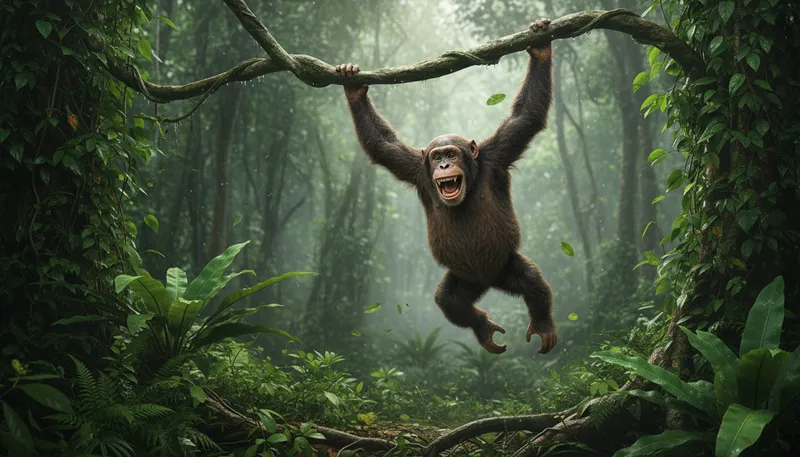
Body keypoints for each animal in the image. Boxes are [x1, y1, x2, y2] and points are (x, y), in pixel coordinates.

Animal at [335, 19, 557, 355]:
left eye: (451, 154)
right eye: (437, 156)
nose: (442, 166)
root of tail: (490, 282)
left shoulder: (499, 153)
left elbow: (527, 116)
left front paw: (541, 47)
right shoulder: (414, 168)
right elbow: (382, 145)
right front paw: (354, 89)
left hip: (506, 266)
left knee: (531, 280)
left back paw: (542, 323)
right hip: (465, 280)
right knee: (449, 301)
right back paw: (482, 327)